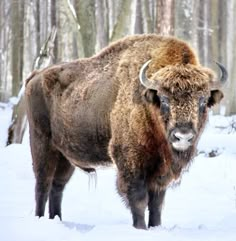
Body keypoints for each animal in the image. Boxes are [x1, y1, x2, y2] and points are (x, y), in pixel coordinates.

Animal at [24, 34, 227, 230]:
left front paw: (155, 227)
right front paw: (141, 228)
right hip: (42, 145)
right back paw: (40, 219)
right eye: (164, 100)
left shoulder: (160, 172)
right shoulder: (130, 162)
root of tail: (34, 77)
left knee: (57, 186)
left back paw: (57, 219)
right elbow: (139, 200)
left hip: (64, 156)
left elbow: (156, 204)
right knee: (42, 185)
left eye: (203, 101)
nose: (182, 136)